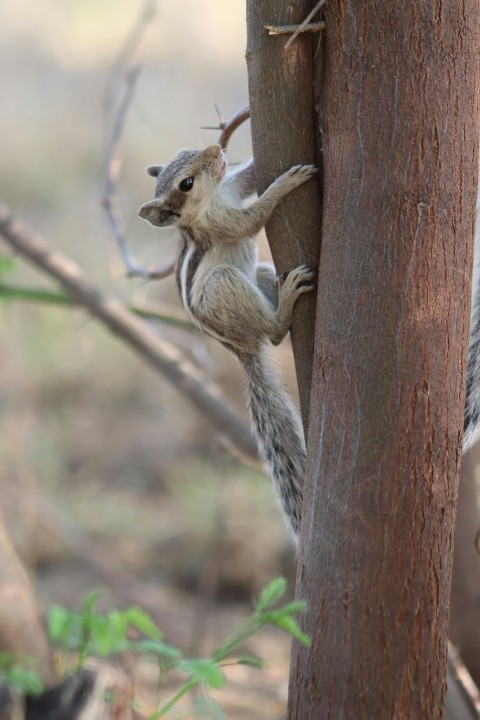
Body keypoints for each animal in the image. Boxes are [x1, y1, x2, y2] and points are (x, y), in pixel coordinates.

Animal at [138, 145, 316, 540]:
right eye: (186, 183)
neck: (216, 195)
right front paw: (286, 183)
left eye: (185, 150)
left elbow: (248, 177)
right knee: (273, 333)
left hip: (259, 274)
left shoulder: (234, 185)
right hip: (224, 285)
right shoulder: (222, 221)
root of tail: (240, 349)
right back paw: (287, 303)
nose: (216, 148)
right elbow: (252, 219)